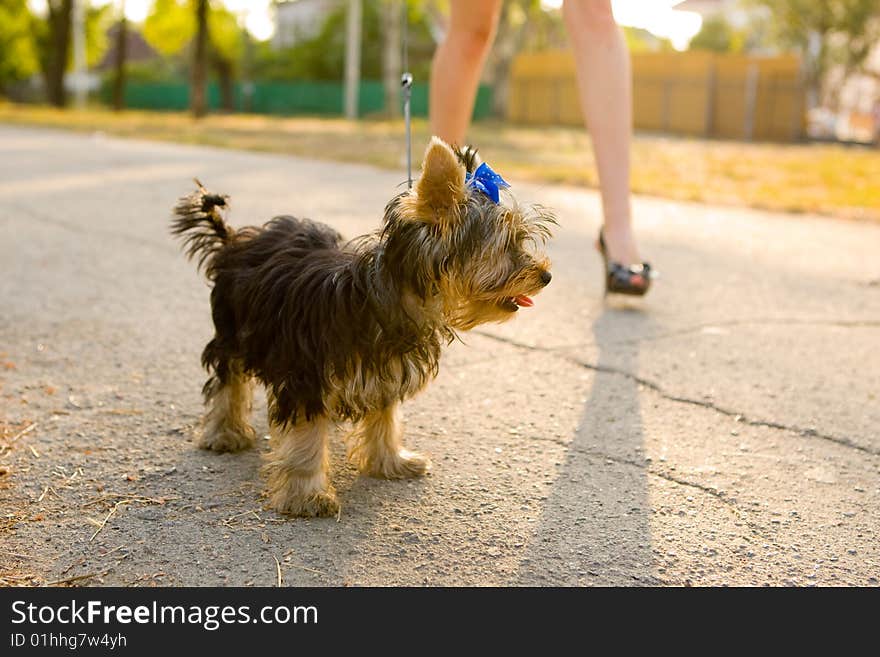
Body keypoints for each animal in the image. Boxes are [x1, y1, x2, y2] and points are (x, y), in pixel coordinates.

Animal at [172, 137, 552, 516]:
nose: (546, 276)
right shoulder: (308, 374)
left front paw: (391, 460)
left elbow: (385, 417)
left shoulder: (386, 369)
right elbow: (306, 435)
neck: (384, 298)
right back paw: (225, 433)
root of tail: (234, 239)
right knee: (229, 378)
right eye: (506, 243)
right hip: (234, 326)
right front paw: (308, 495)